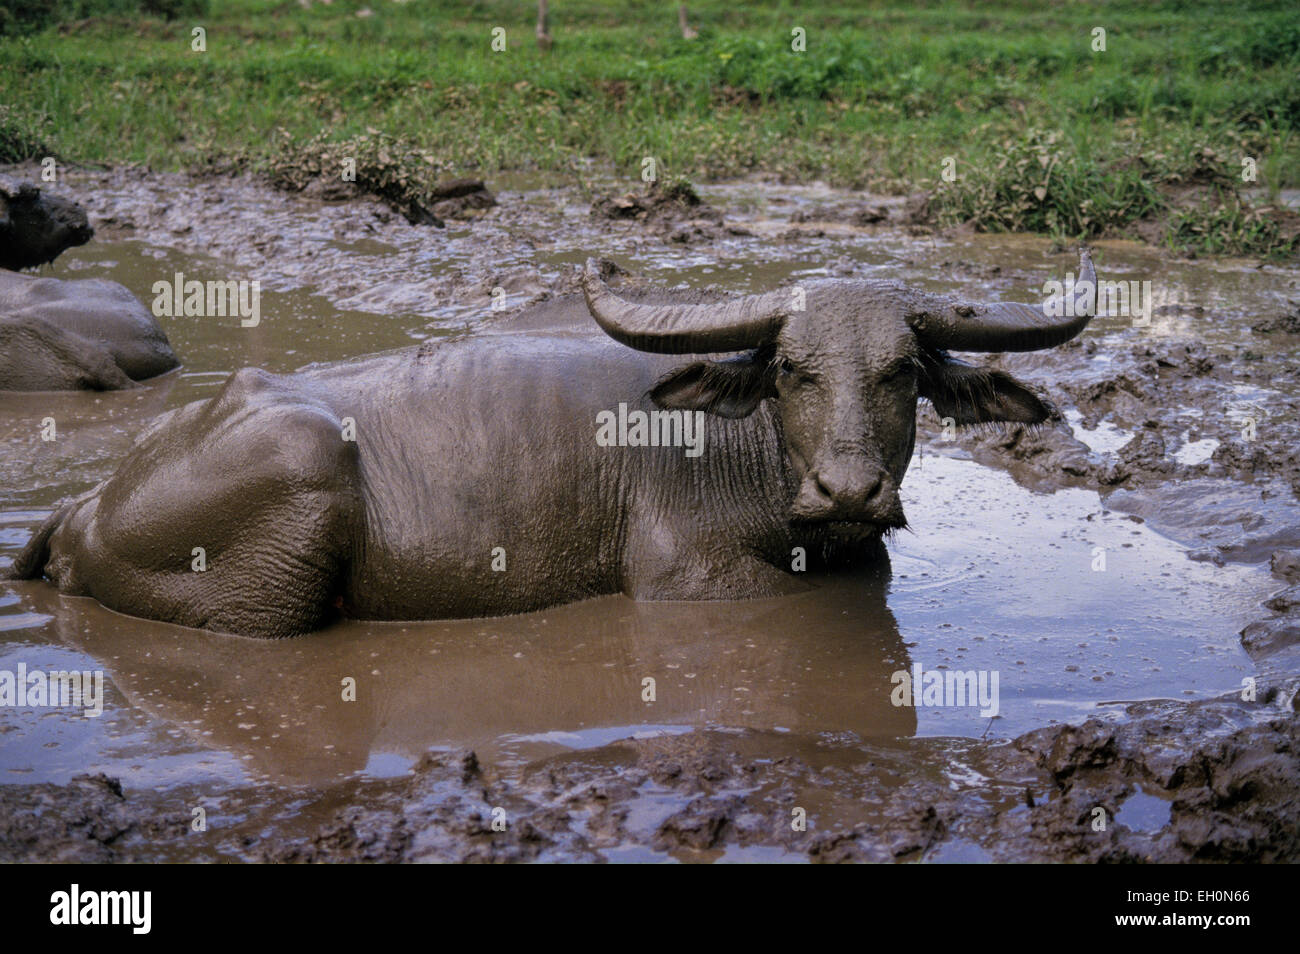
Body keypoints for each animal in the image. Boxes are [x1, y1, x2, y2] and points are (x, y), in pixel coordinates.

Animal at [5, 248, 1092, 634]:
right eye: (793, 369)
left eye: (902, 371)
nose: (850, 492)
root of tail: (88, 503)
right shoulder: (687, 580)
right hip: (298, 471)